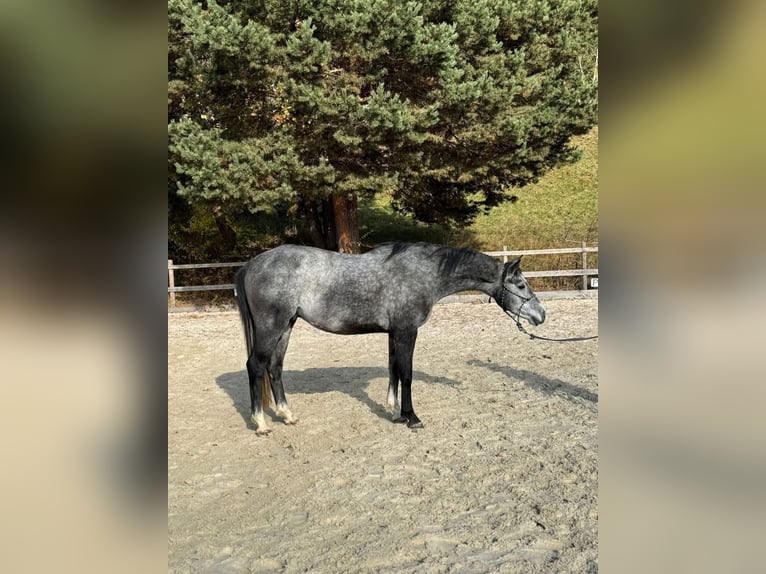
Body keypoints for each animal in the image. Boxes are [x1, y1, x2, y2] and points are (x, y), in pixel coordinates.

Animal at [233, 242, 546, 434]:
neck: (424, 273)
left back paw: (287, 415)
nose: (541, 315)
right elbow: (406, 373)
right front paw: (412, 417)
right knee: (256, 366)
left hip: (286, 327)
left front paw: (396, 412)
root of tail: (251, 264)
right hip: (271, 327)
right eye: (521, 285)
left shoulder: (395, 333)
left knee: (275, 368)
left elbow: (393, 368)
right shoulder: (407, 331)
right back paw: (261, 423)